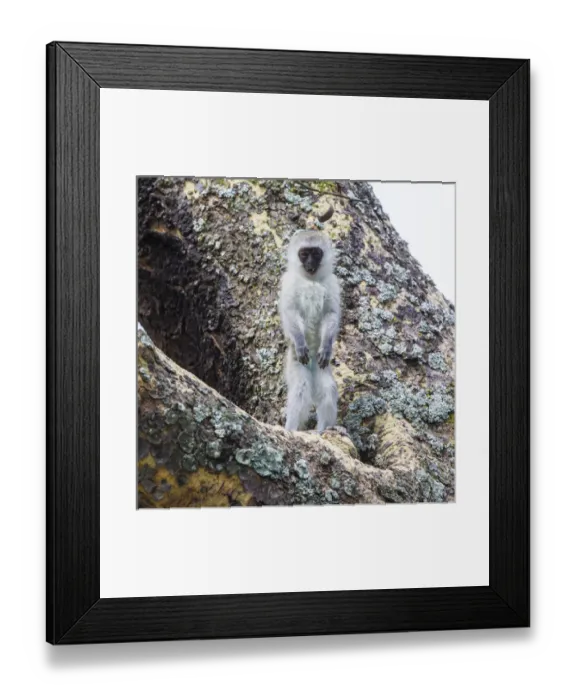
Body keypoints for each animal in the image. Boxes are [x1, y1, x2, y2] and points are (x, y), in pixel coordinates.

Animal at [280, 228, 341, 432]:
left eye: (316, 253)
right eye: (304, 254)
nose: (310, 264)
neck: (311, 280)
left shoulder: (332, 282)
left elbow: (330, 314)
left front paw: (327, 346)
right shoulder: (289, 282)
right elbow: (290, 311)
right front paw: (300, 342)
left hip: (321, 368)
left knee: (328, 389)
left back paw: (323, 429)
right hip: (297, 363)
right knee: (301, 387)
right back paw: (291, 429)